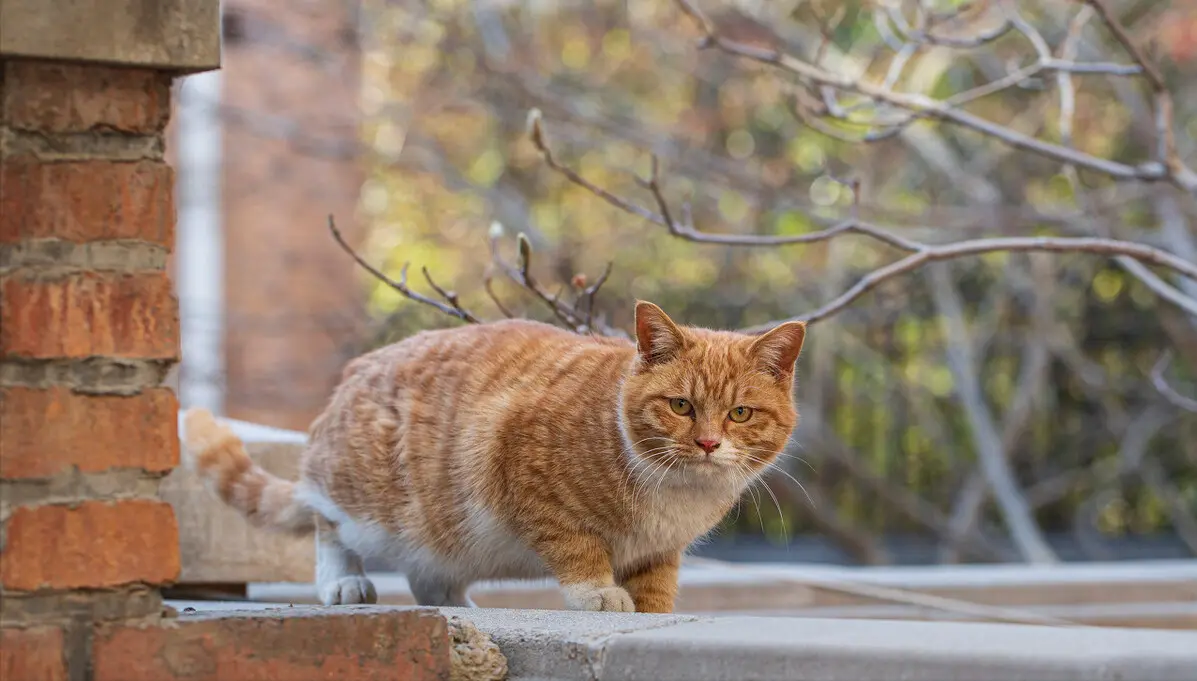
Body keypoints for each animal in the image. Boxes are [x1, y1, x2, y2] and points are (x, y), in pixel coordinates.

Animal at [184, 301, 804, 610]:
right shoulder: (527, 475)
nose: (708, 443)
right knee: (326, 523)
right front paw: (599, 593)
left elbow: (655, 588)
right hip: (367, 509)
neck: (676, 493)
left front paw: (651, 611)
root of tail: (354, 374)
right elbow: (578, 549)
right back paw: (344, 583)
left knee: (428, 579)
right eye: (680, 405)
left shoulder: (661, 550)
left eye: (739, 414)